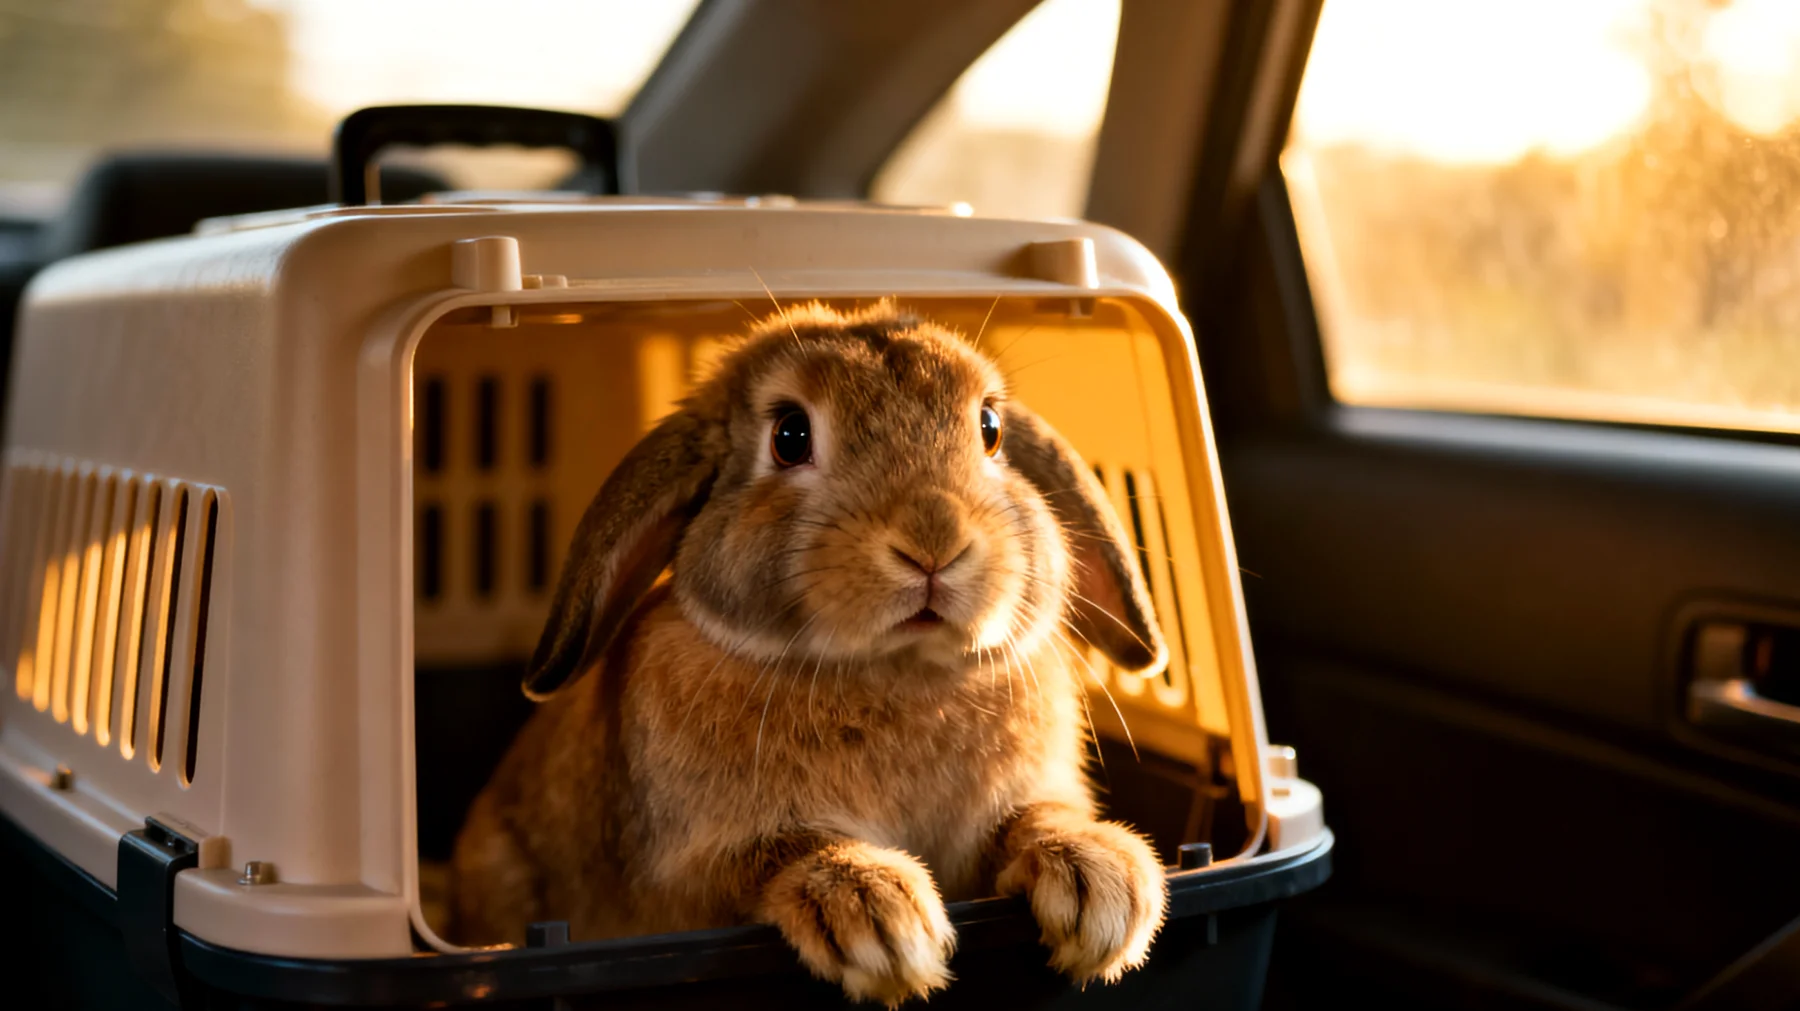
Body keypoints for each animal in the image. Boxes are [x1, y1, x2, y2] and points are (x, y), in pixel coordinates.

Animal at [450, 299, 1171, 1006]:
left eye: (990, 428)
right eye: (791, 436)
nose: (934, 538)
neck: (894, 668)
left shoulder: (1025, 800)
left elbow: (1037, 817)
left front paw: (1104, 885)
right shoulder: (683, 874)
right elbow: (778, 852)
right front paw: (877, 914)